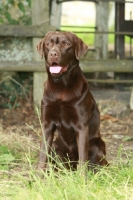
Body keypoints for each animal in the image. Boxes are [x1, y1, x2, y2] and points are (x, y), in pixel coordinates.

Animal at [36, 30, 108, 170]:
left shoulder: (81, 126)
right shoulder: (47, 124)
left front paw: (82, 176)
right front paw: (38, 175)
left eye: (66, 44)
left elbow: (82, 158)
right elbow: (42, 156)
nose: (53, 53)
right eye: (48, 44)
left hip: (96, 145)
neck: (61, 86)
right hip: (55, 146)